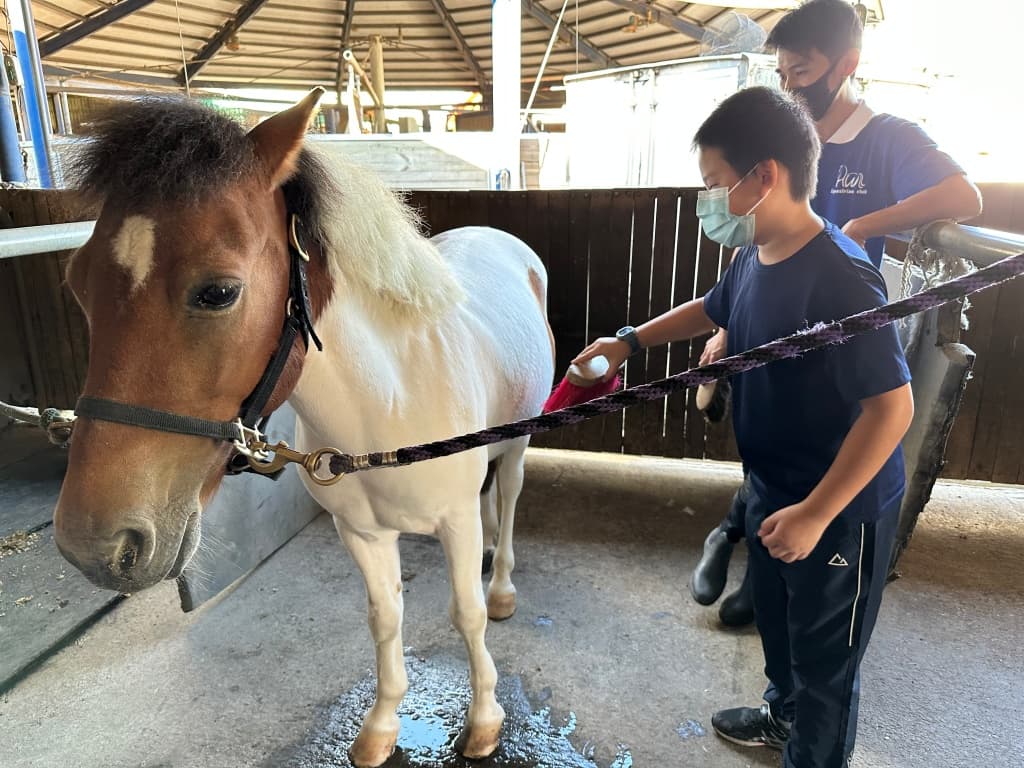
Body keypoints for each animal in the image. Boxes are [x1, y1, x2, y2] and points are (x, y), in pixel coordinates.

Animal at [53, 88, 556, 767]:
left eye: (219, 292)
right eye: (79, 282)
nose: (94, 546)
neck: (388, 409)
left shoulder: (452, 521)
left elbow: (466, 614)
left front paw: (482, 722)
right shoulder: (362, 533)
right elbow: (384, 617)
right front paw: (380, 728)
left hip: (519, 442)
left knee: (507, 498)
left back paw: (501, 584)